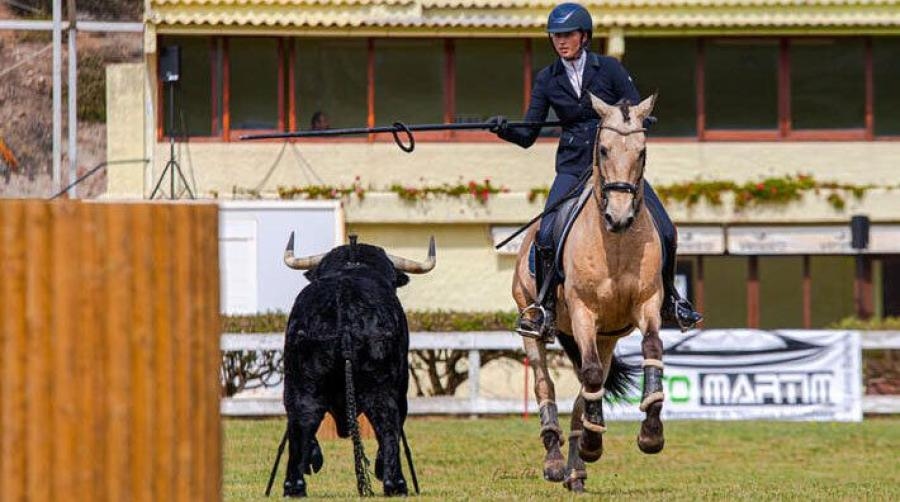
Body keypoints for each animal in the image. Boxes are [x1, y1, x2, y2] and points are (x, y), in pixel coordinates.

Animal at [282, 233, 436, 496]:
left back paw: (295, 485)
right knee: (387, 422)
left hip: (301, 384)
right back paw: (395, 483)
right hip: (386, 387)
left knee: (301, 419)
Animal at [510, 93, 664, 490]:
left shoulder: (648, 305)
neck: (616, 245)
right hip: (535, 324)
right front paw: (594, 445)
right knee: (545, 384)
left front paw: (650, 434)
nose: (619, 217)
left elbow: (651, 352)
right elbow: (591, 376)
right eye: (604, 149)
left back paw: (576, 468)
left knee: (584, 390)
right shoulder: (583, 311)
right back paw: (555, 460)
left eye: (642, 151)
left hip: (605, 337)